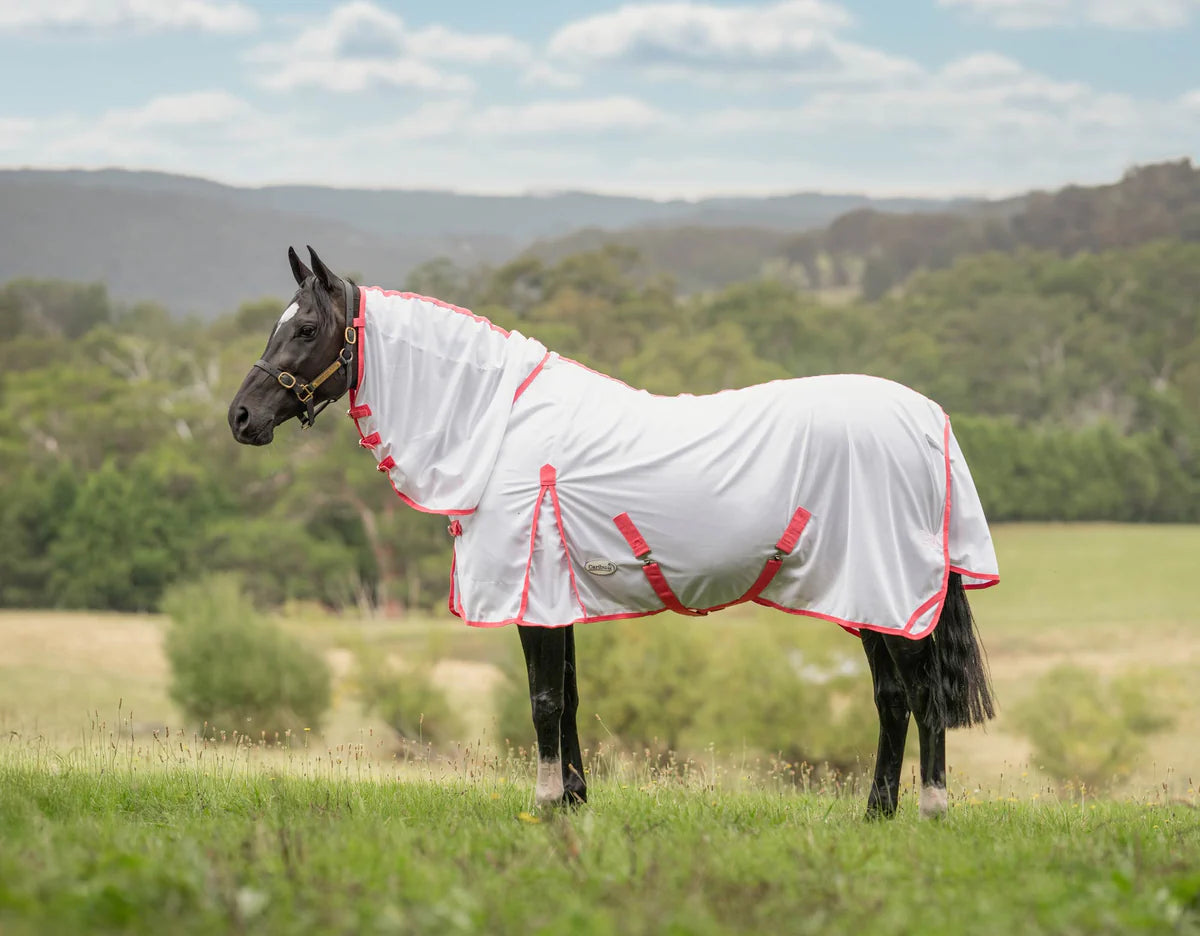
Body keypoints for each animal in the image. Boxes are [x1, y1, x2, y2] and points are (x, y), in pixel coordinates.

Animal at [229, 247, 998, 820]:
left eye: (305, 330)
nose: (241, 418)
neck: (499, 425)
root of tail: (928, 420)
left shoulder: (531, 590)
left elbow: (542, 699)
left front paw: (545, 805)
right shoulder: (555, 594)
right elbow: (568, 697)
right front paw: (574, 801)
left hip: (894, 594)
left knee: (922, 696)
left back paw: (929, 811)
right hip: (865, 597)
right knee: (892, 699)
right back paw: (876, 815)